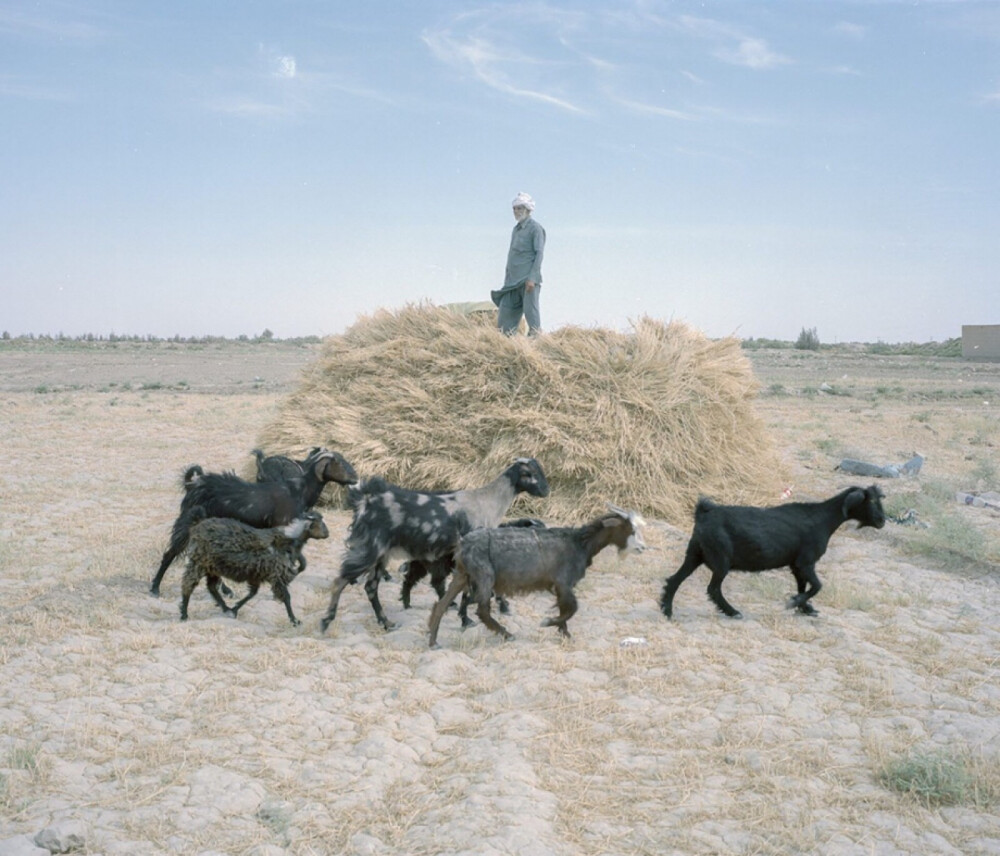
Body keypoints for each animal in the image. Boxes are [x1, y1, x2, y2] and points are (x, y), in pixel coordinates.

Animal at [150, 452, 358, 600]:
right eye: (338, 462)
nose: (355, 477)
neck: (298, 491)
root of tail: (193, 485)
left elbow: (300, 563)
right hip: (188, 524)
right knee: (170, 553)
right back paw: (154, 588)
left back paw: (226, 590)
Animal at [322, 458, 548, 632]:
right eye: (530, 473)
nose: (546, 491)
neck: (488, 501)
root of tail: (365, 500)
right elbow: (467, 593)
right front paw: (466, 620)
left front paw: (465, 618)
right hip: (369, 549)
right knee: (340, 580)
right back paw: (326, 621)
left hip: (380, 554)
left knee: (370, 587)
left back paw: (387, 623)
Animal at [430, 502, 648, 648]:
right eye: (630, 529)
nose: (642, 547)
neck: (580, 543)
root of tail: (462, 543)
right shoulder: (563, 582)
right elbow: (571, 608)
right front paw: (550, 624)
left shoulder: (561, 587)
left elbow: (565, 609)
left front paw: (565, 634)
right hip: (484, 577)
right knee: (482, 610)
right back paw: (507, 634)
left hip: (462, 575)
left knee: (441, 605)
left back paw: (433, 641)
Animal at [664, 484, 884, 620]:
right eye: (871, 501)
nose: (882, 521)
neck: (823, 518)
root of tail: (703, 513)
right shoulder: (806, 562)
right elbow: (817, 586)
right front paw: (794, 603)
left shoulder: (796, 565)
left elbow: (803, 586)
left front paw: (805, 608)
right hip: (721, 560)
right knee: (713, 589)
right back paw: (732, 612)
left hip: (695, 554)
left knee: (674, 580)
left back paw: (667, 611)